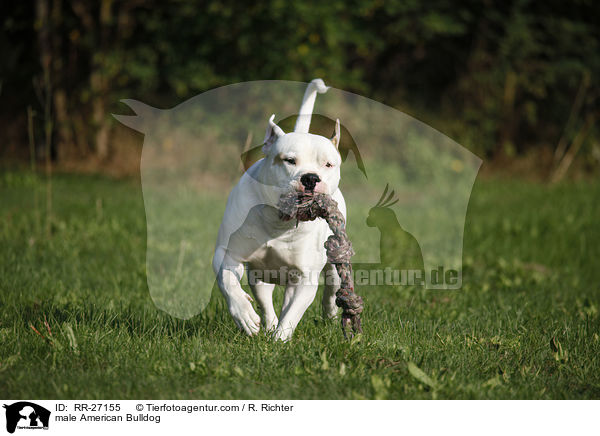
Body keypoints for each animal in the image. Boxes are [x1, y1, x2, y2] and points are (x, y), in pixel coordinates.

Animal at [212, 80, 346, 342]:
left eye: (328, 164)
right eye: (289, 160)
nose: (311, 178)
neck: (279, 223)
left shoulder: (305, 278)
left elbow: (294, 312)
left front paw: (281, 340)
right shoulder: (227, 253)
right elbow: (227, 281)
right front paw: (244, 315)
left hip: (332, 265)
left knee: (329, 291)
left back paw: (331, 317)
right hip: (260, 275)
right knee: (265, 300)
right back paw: (267, 323)